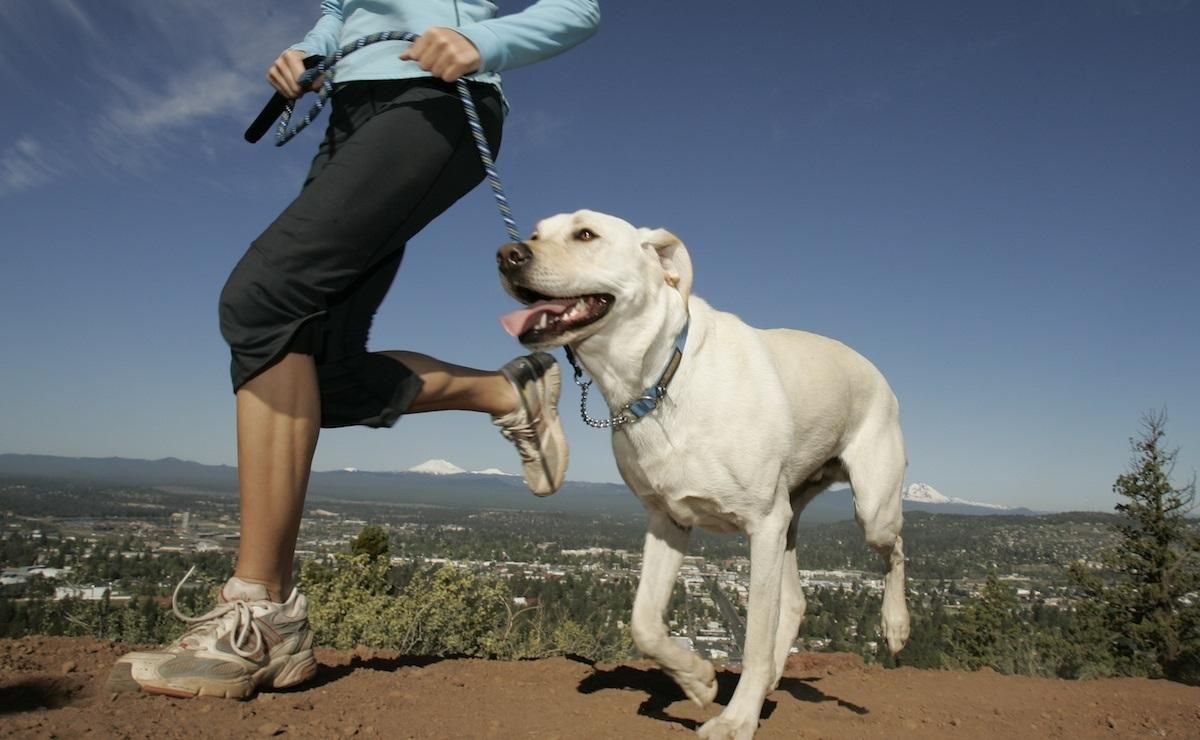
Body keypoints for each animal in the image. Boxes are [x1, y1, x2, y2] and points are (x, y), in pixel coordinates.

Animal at [496, 208, 907, 738]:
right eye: (533, 234)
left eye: (585, 234)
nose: (507, 255)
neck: (659, 380)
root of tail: (873, 369)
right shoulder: (668, 520)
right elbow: (644, 622)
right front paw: (698, 680)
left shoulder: (762, 525)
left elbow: (753, 639)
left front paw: (737, 720)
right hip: (790, 520)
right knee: (796, 601)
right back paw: (772, 679)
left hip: (869, 508)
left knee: (895, 549)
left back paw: (896, 626)